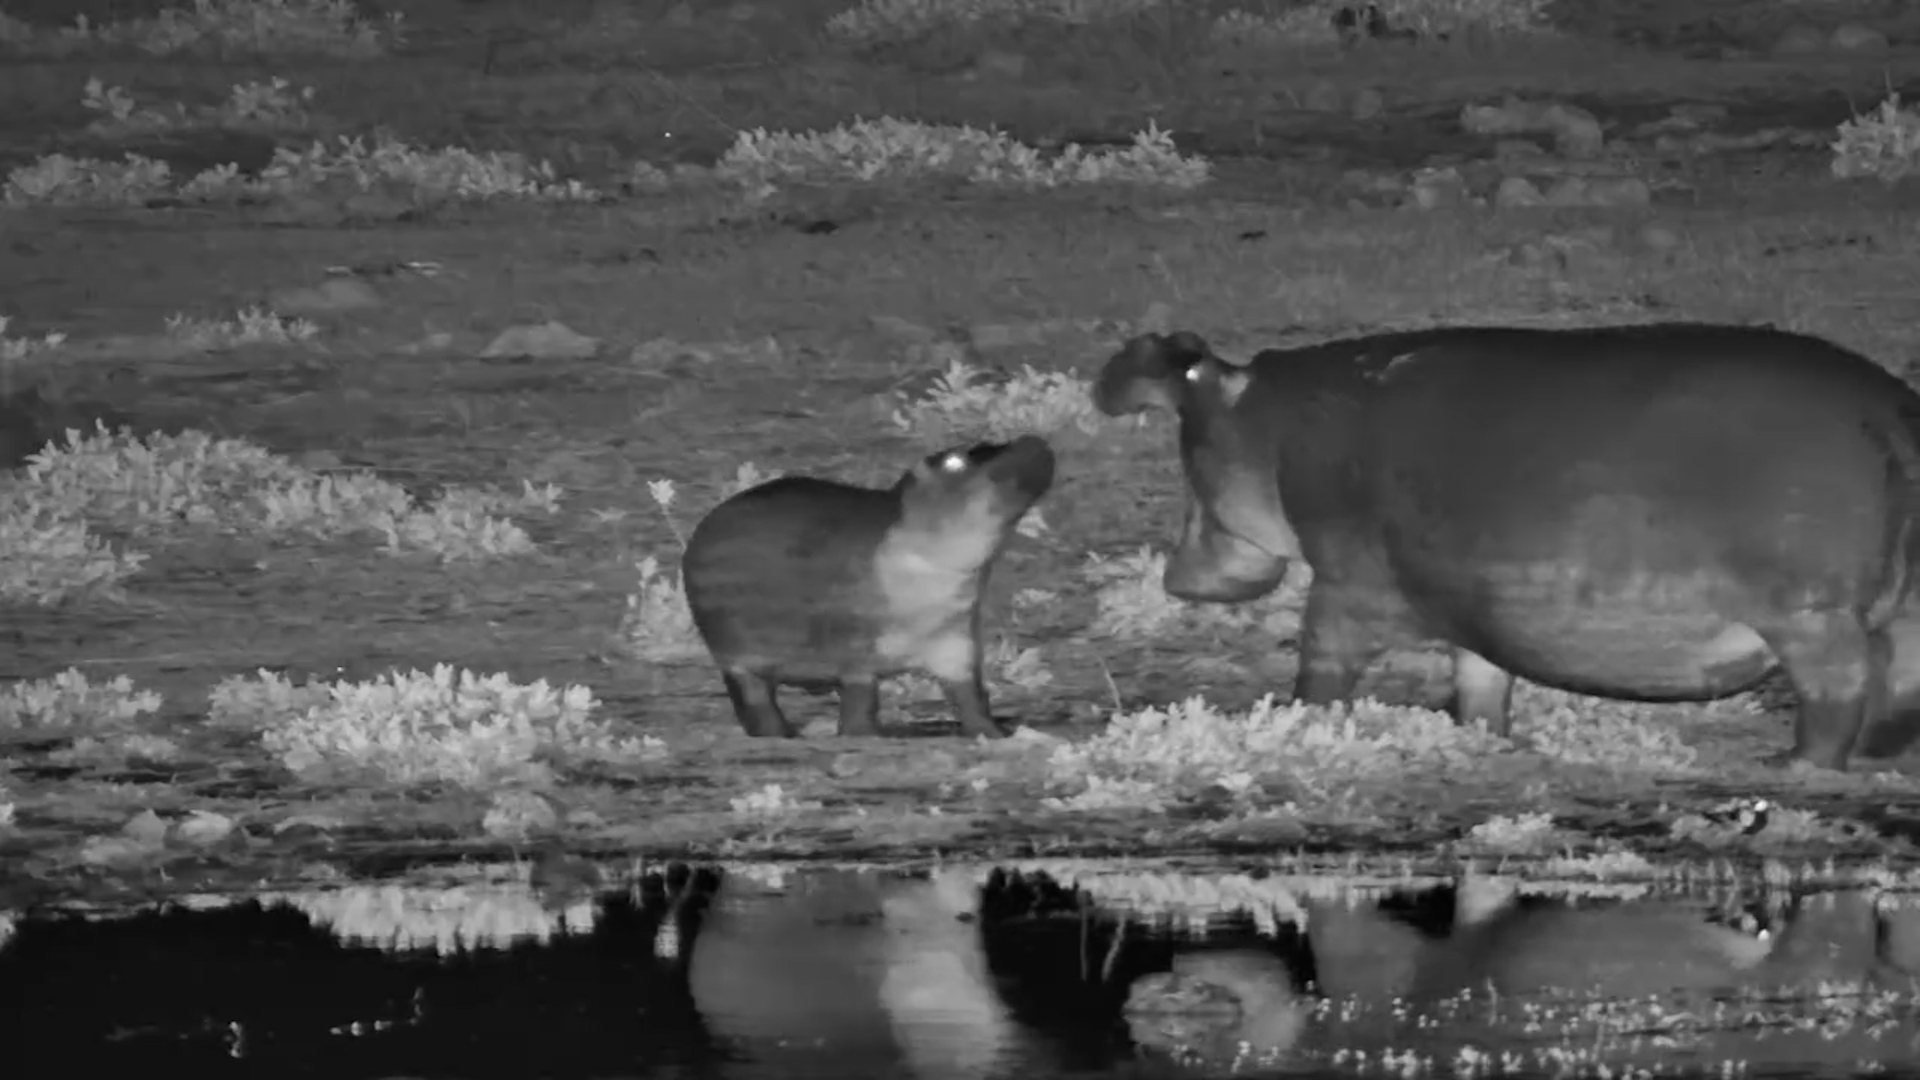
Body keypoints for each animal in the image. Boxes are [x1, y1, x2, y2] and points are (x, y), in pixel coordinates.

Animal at [1093, 324, 1920, 770]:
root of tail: (1893, 412)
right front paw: (1486, 737)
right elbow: (1480, 679)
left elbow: (1319, 664)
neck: (1263, 419)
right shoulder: (1469, 602)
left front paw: (1299, 718)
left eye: (1185, 423)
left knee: (1838, 691)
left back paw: (1796, 761)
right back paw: (1878, 751)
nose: (1173, 579)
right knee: (1898, 678)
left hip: (1812, 617)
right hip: (1890, 610)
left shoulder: (1345, 584)